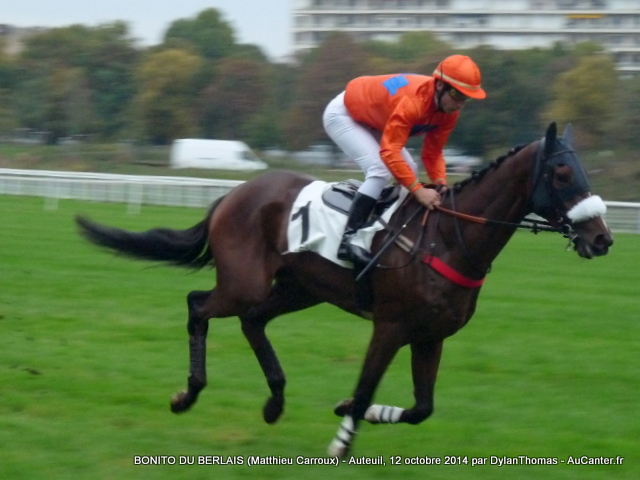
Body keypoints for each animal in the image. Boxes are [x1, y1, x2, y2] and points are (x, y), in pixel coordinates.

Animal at [77, 123, 612, 458]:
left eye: (585, 170)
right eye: (563, 172)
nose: (602, 238)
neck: (447, 237)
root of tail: (234, 193)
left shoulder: (431, 336)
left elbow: (421, 408)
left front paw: (353, 412)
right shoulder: (391, 326)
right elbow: (366, 384)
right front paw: (341, 439)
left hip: (300, 288)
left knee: (253, 321)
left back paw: (274, 401)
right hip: (246, 283)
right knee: (199, 307)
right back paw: (188, 394)